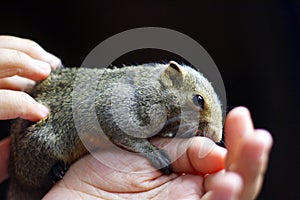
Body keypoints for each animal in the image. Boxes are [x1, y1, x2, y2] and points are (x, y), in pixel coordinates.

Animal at [7, 61, 223, 200]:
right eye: (199, 99)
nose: (217, 135)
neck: (157, 92)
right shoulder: (112, 110)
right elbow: (126, 136)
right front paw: (154, 153)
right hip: (42, 146)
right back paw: (55, 171)